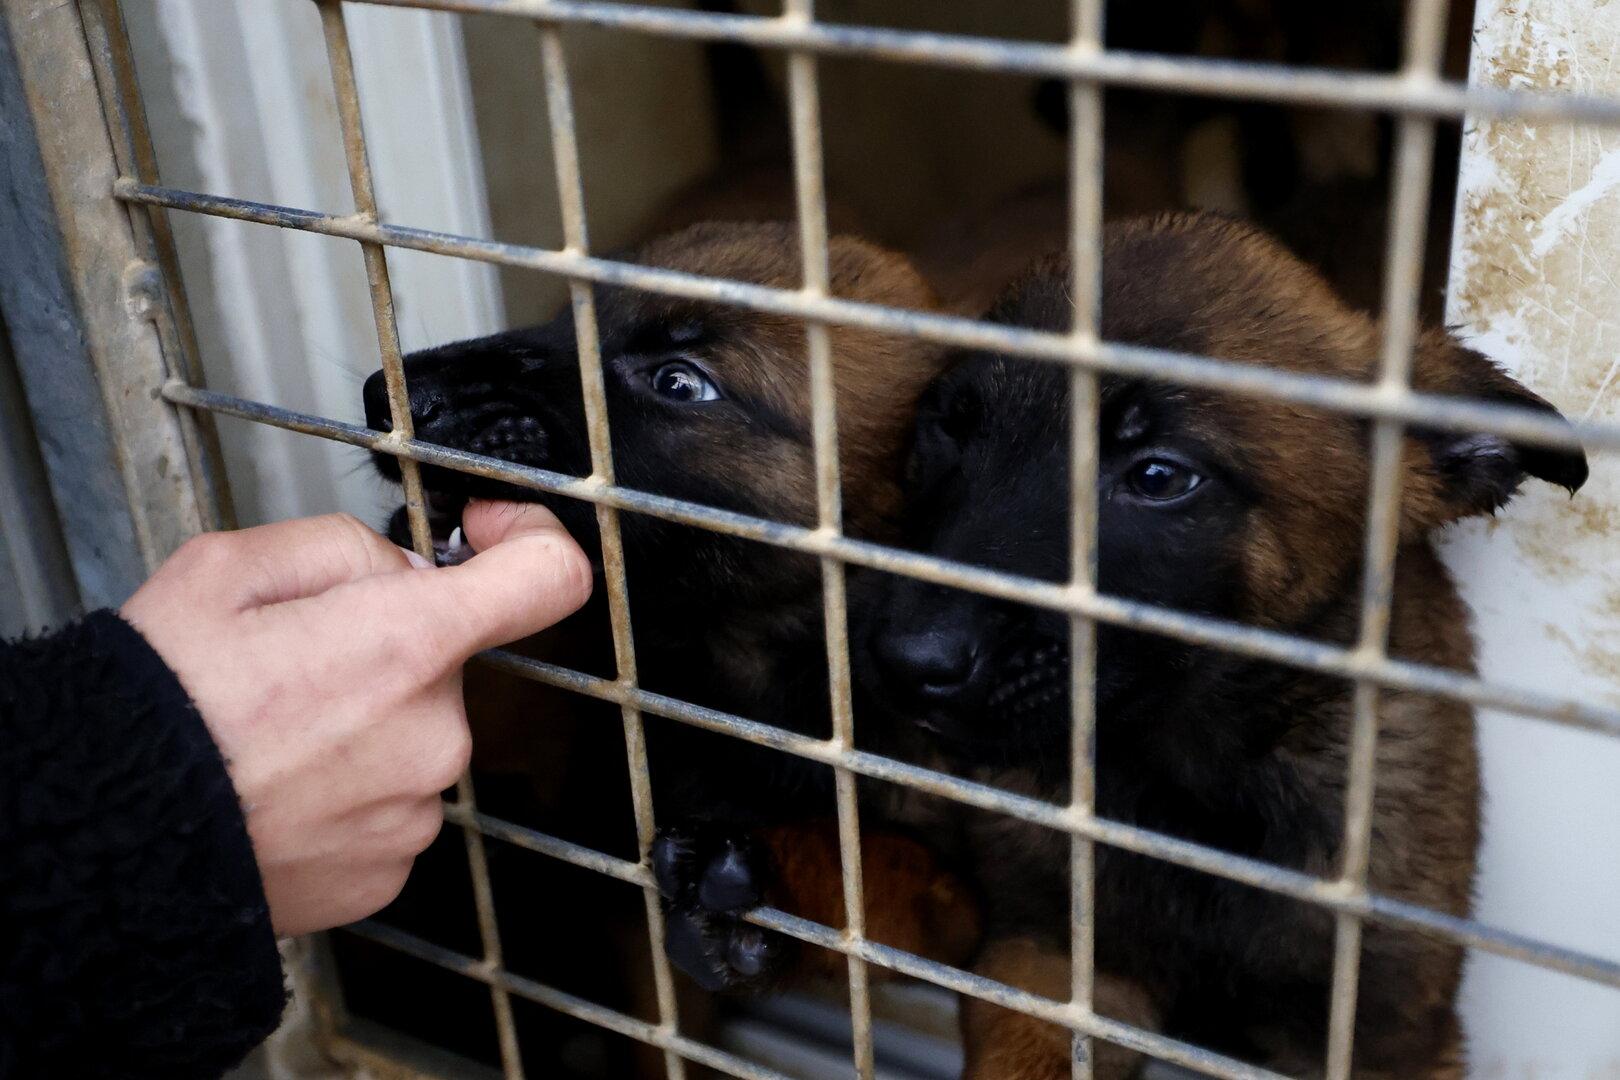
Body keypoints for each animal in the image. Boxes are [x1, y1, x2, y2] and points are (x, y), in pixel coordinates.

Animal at [855, 215, 1587, 1075]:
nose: (908, 661)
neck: (1188, 780)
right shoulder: (1051, 961)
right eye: (947, 429)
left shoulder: (1383, 1032)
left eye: (1159, 477)